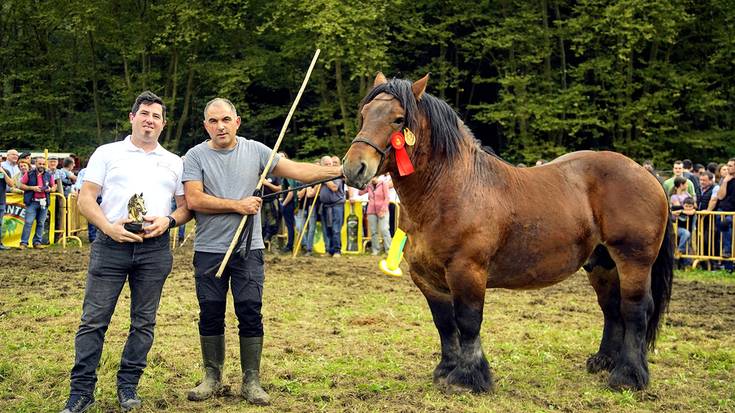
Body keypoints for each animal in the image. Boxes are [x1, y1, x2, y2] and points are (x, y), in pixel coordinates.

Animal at [342, 72, 676, 392]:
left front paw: (467, 378)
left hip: (633, 259)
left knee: (635, 309)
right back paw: (604, 361)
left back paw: (627, 376)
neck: (453, 189)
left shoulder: (467, 270)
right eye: (364, 114)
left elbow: (468, 321)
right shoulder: (426, 277)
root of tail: (644, 172)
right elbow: (445, 324)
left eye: (398, 119)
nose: (354, 168)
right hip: (601, 263)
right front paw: (445, 371)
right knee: (611, 308)